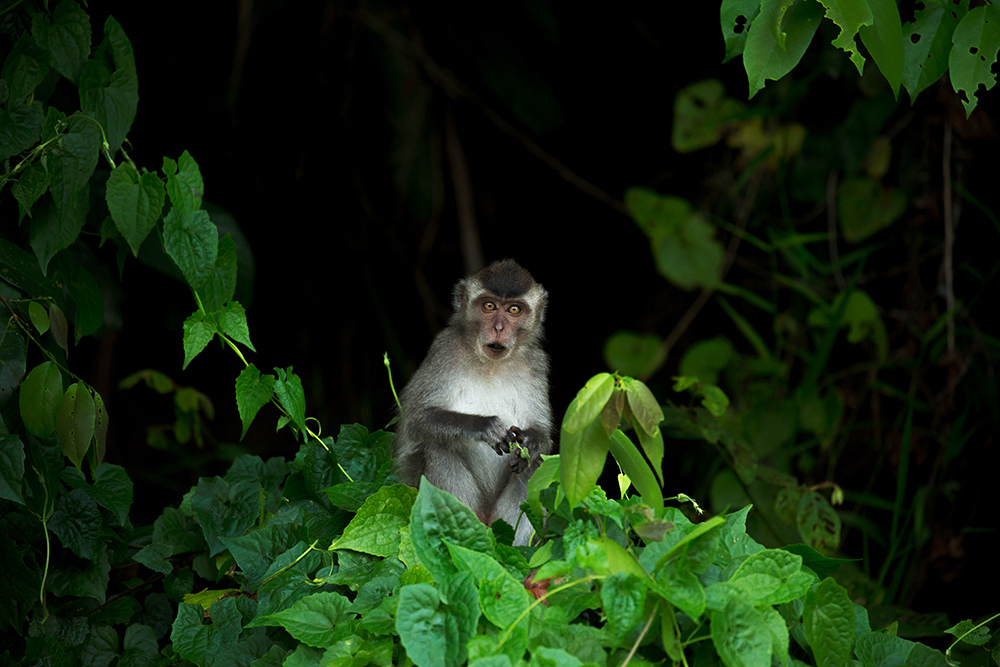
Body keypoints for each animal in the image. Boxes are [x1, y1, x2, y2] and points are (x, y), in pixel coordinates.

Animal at [392, 258, 556, 544]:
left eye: (514, 310)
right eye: (488, 306)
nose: (499, 329)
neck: (491, 363)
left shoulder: (536, 363)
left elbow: (541, 436)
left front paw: (531, 441)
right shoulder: (444, 349)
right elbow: (418, 419)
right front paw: (484, 427)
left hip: (500, 520)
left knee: (534, 466)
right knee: (437, 449)